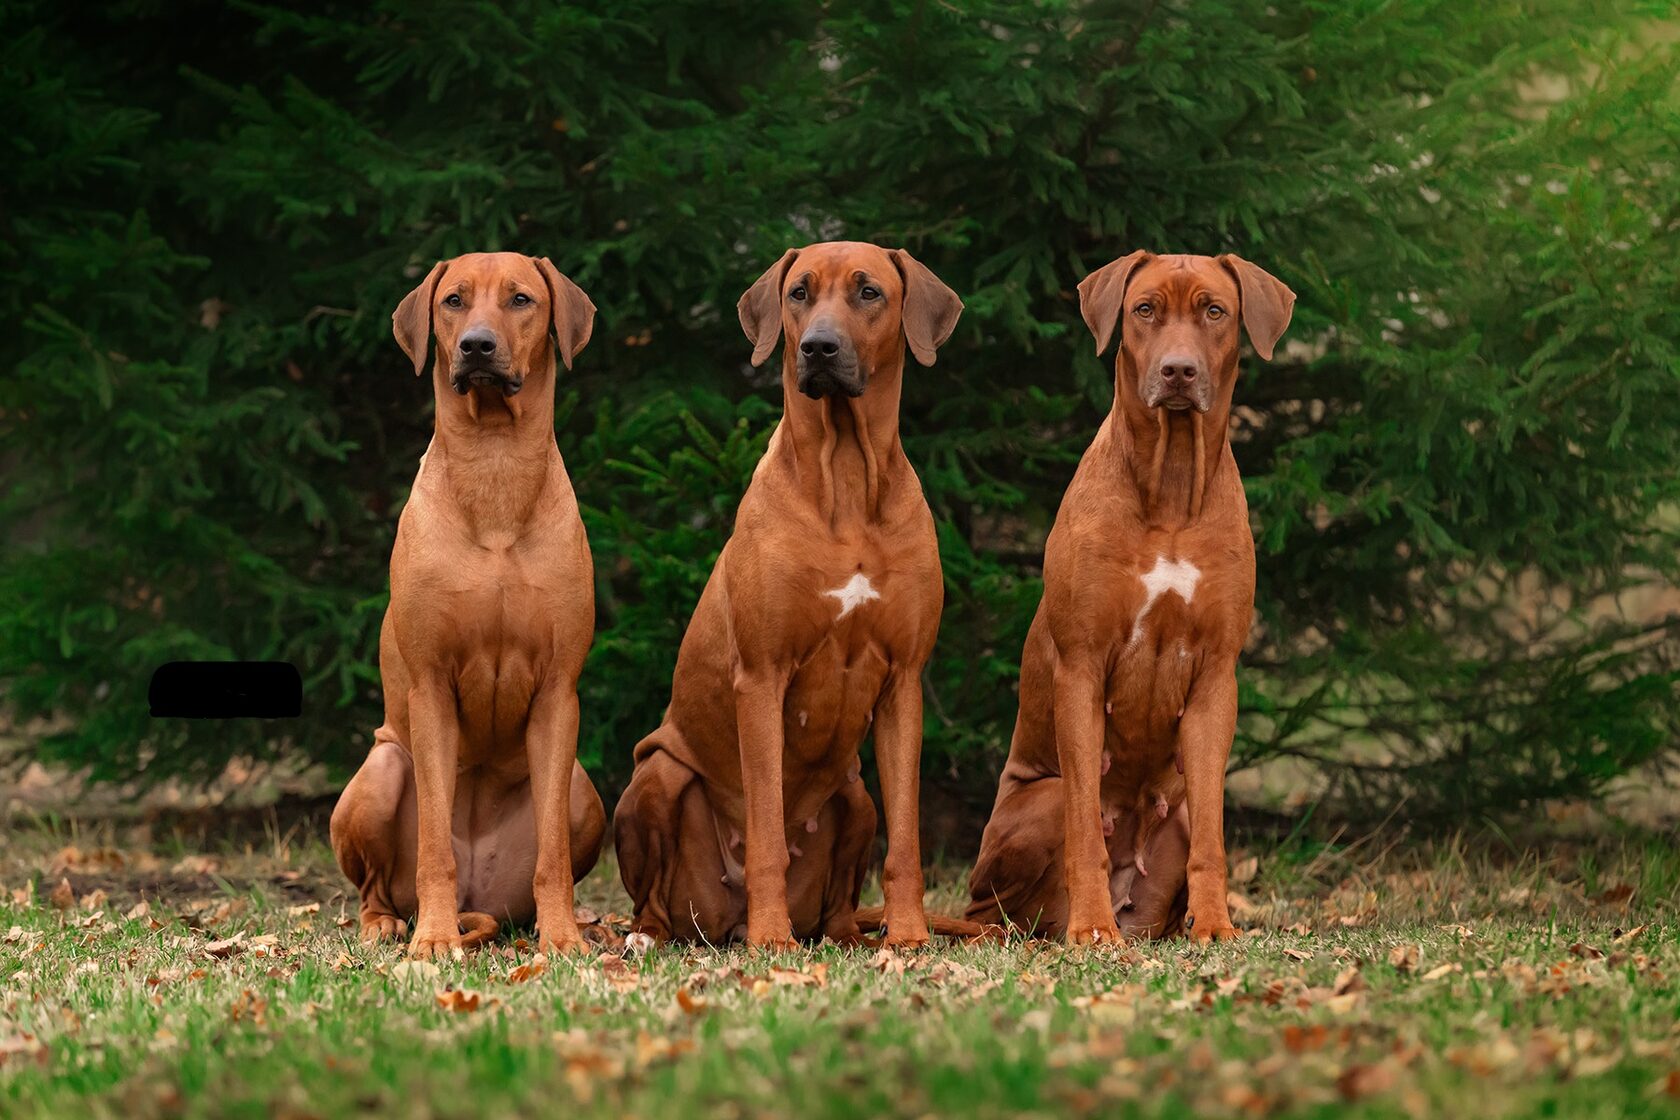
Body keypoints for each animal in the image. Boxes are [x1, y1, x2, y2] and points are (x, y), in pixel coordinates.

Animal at [330, 250, 608, 960]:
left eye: (520, 299)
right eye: (452, 300)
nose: (476, 346)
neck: (496, 464)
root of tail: (483, 905)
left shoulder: (558, 692)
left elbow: (553, 855)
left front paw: (563, 937)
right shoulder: (430, 686)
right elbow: (433, 844)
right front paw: (432, 940)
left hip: (583, 791)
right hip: (379, 772)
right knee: (375, 888)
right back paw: (390, 925)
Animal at [614, 243, 960, 947]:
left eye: (869, 292)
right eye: (799, 292)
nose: (818, 348)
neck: (847, 476)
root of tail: (717, 921)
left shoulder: (904, 681)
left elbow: (907, 840)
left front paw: (910, 937)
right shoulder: (761, 677)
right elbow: (768, 831)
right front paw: (771, 939)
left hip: (855, 796)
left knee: (842, 901)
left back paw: (851, 937)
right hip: (657, 775)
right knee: (655, 898)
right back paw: (659, 934)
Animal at [960, 250, 1296, 940]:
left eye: (1214, 310)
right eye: (1144, 309)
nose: (1178, 371)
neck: (1170, 484)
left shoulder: (1216, 680)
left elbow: (1215, 838)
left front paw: (1215, 924)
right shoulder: (1081, 667)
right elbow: (1087, 830)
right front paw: (1092, 932)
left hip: (1179, 814)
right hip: (1039, 807)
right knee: (998, 908)